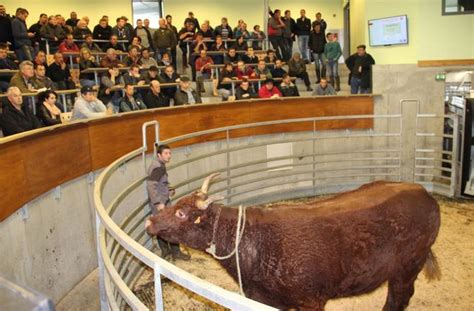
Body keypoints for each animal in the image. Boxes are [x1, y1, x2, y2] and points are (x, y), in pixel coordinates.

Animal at [145, 176, 440, 311]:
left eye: (182, 213)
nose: (149, 221)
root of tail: (422, 192)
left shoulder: (312, 300)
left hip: (408, 267)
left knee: (399, 296)